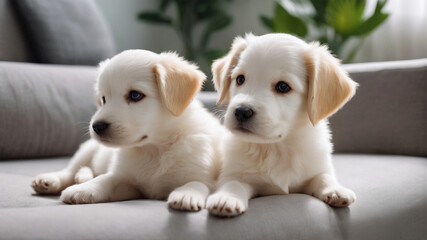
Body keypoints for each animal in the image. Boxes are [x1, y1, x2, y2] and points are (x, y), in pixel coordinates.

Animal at [30, 49, 224, 211]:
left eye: (135, 95)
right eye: (103, 99)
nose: (97, 126)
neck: (153, 149)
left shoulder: (203, 175)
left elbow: (196, 183)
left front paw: (186, 195)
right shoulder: (127, 180)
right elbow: (105, 179)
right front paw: (84, 188)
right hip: (87, 149)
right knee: (70, 170)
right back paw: (50, 180)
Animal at [207, 32, 358, 217]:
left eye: (283, 86)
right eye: (240, 79)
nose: (242, 111)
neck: (276, 148)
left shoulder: (317, 166)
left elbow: (323, 177)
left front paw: (336, 189)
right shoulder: (234, 173)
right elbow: (232, 183)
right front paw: (226, 198)